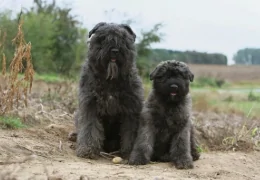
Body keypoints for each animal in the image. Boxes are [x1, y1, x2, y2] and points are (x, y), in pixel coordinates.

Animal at [72, 22, 143, 159]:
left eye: (123, 38)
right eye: (103, 38)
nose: (115, 50)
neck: (110, 80)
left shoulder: (131, 110)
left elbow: (130, 131)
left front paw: (129, 152)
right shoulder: (90, 105)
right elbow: (89, 127)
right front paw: (87, 149)